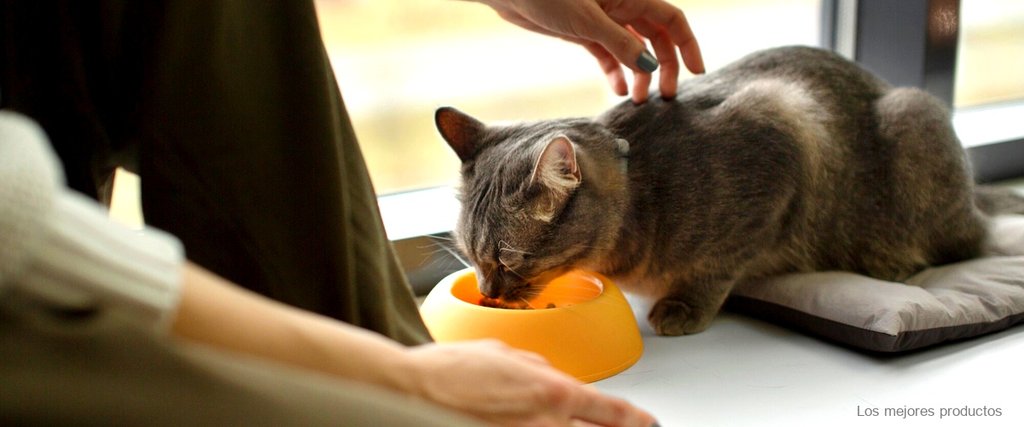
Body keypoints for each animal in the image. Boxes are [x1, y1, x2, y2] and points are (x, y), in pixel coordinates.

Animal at [434, 45, 1024, 333]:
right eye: (470, 257)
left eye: (510, 261)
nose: (488, 292)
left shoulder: (782, 135)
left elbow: (718, 265)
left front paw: (683, 307)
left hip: (914, 118)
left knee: (964, 240)